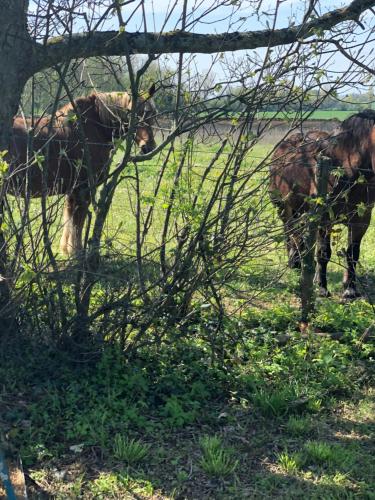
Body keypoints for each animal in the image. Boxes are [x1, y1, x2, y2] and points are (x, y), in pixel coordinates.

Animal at [7, 85, 157, 254]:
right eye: (132, 112)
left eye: (152, 113)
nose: (148, 146)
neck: (94, 127)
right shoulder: (83, 188)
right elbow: (78, 221)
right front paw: (76, 251)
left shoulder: (73, 190)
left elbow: (70, 218)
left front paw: (66, 249)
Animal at [272, 111, 375, 298]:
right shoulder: (324, 218)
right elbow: (323, 253)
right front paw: (321, 287)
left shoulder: (362, 219)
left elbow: (352, 254)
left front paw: (350, 289)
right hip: (283, 208)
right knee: (290, 232)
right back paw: (295, 264)